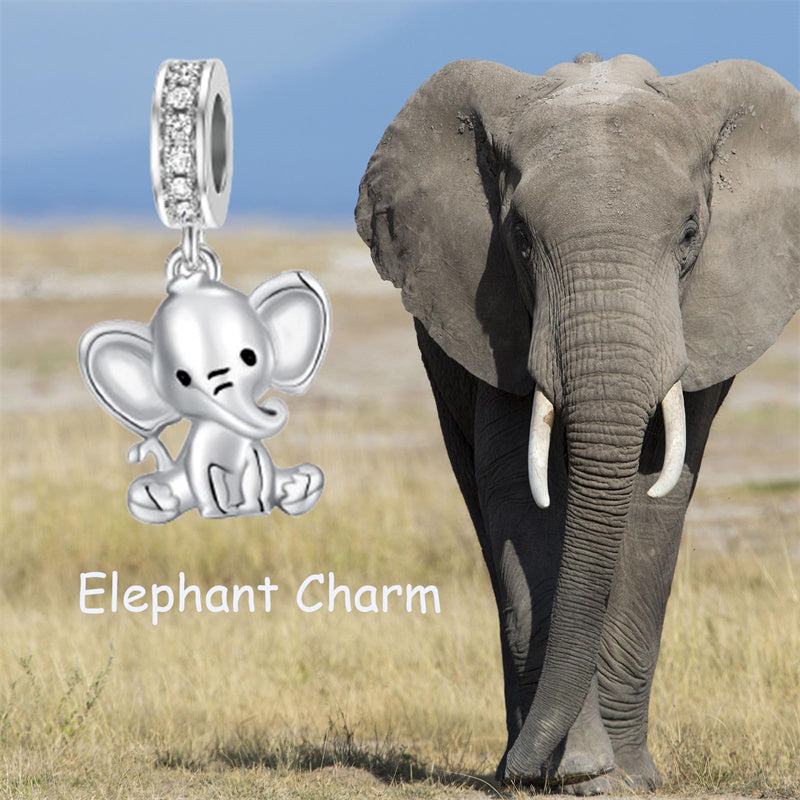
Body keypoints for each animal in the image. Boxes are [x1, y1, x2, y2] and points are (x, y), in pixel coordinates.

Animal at [79, 269, 330, 523]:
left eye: (250, 357)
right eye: (182, 378)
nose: (273, 406)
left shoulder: (253, 451)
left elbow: (257, 470)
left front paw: (256, 509)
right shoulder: (199, 457)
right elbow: (205, 478)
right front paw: (215, 514)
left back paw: (298, 486)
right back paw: (160, 497)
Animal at [355, 54, 799, 791]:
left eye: (689, 234)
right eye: (519, 238)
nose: (524, 769)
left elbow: (655, 500)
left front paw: (622, 780)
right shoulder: (494, 320)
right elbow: (518, 494)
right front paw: (578, 771)